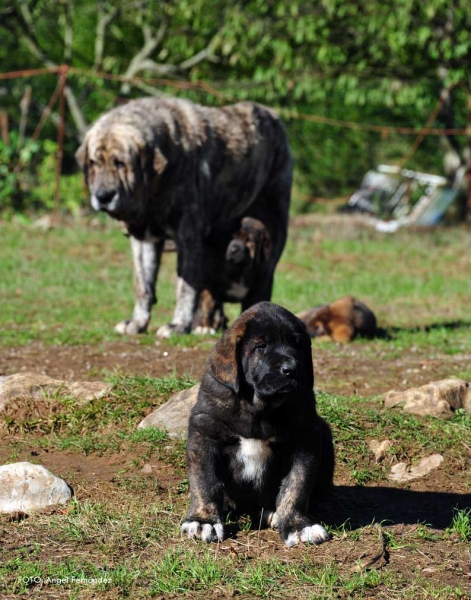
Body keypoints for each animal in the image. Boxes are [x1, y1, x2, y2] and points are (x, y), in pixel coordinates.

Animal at [76, 98, 294, 338]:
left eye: (120, 163)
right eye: (94, 162)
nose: (103, 196)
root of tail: (272, 114)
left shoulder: (188, 236)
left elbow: (185, 287)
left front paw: (179, 325)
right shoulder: (144, 239)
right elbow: (143, 285)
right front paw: (138, 322)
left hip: (274, 226)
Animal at [182, 302, 336, 548]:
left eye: (297, 344)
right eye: (261, 347)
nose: (291, 369)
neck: (258, 408)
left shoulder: (306, 437)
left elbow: (297, 485)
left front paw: (298, 525)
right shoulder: (204, 430)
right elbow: (204, 481)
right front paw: (203, 521)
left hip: (324, 434)